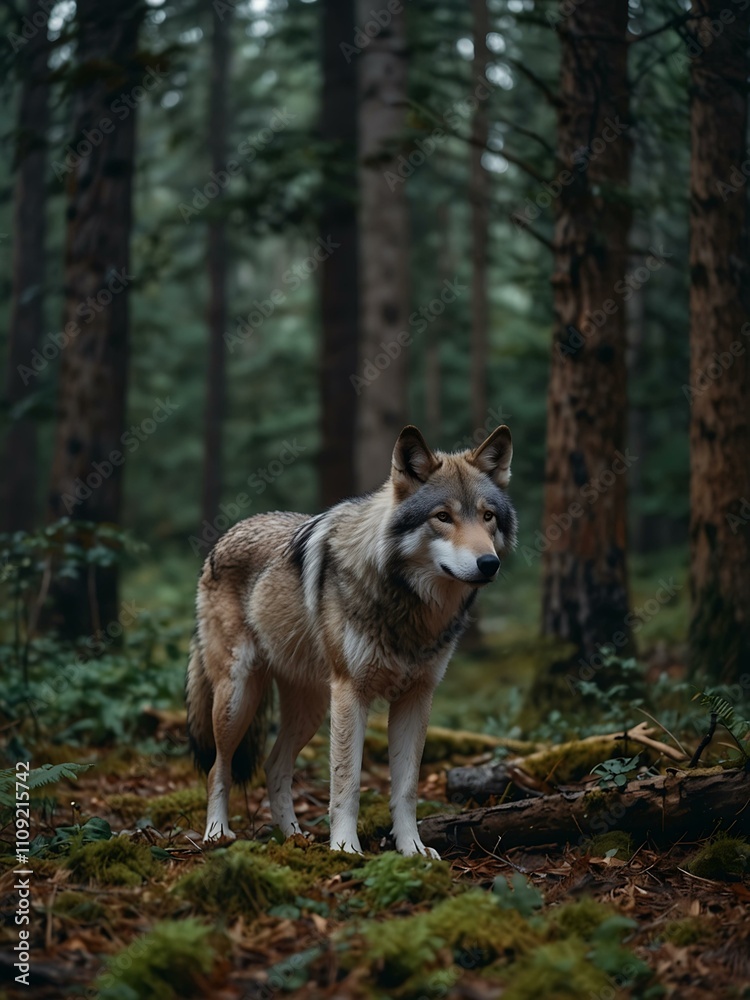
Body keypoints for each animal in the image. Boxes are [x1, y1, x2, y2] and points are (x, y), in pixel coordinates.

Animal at [186, 424, 517, 857]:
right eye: (443, 517)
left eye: (487, 516)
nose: (488, 563)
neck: (408, 606)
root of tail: (225, 535)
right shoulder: (350, 693)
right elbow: (347, 783)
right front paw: (345, 849)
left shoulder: (417, 697)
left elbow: (406, 788)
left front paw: (412, 849)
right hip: (239, 697)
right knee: (217, 768)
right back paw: (216, 833)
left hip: (309, 709)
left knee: (275, 766)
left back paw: (294, 838)